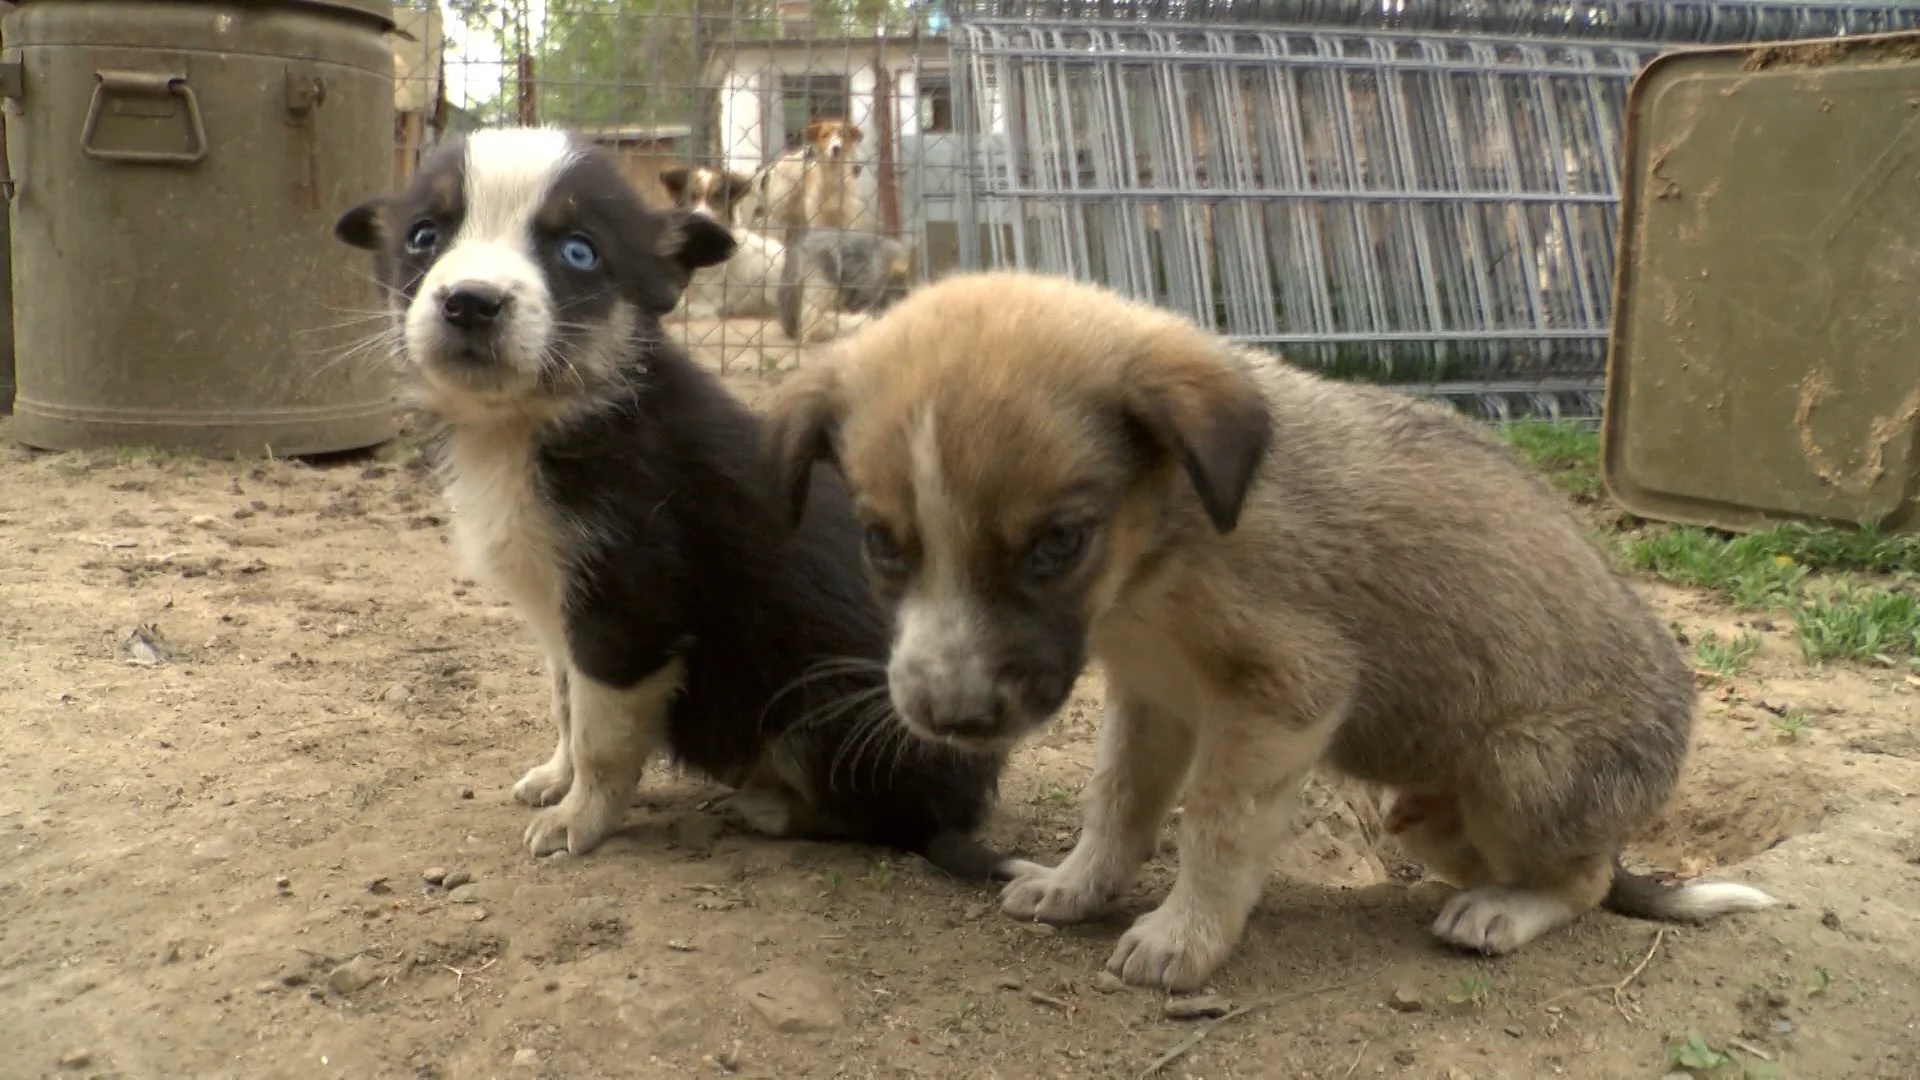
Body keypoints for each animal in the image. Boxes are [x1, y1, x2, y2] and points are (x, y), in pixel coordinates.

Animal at [760, 272, 1766, 991]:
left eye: (1057, 543)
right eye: (880, 542)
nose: (951, 718)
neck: (1158, 555)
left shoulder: (1283, 694)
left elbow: (1215, 828)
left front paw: (1184, 937)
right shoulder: (1151, 696)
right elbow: (1117, 803)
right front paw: (1077, 886)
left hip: (1526, 772)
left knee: (1587, 880)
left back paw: (1504, 912)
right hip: (1429, 813)